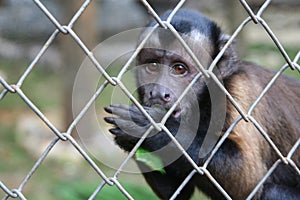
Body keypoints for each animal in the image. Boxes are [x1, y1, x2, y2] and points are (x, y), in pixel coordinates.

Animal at [103, 9, 300, 200]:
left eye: (179, 69)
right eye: (152, 66)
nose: (159, 93)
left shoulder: (240, 92)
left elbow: (250, 183)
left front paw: (154, 128)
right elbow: (176, 192)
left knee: (271, 192)